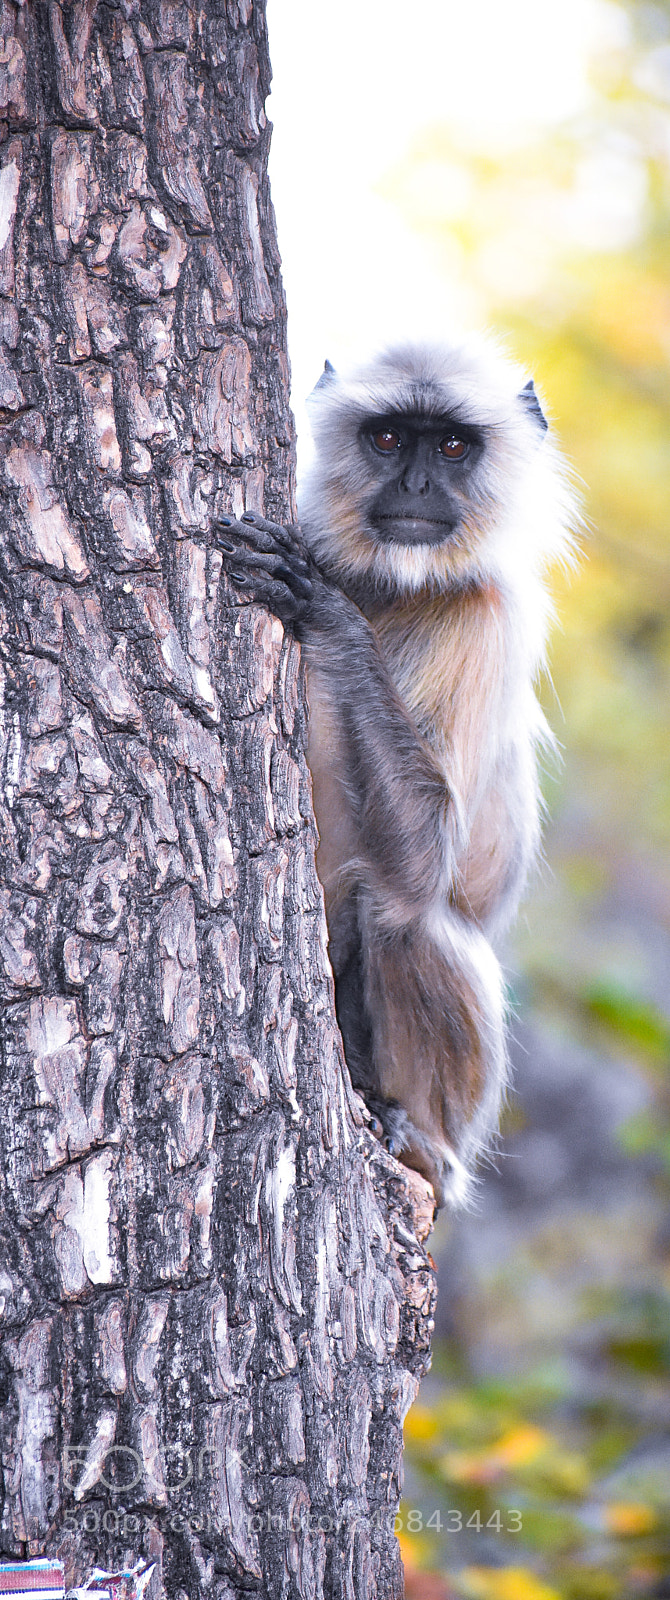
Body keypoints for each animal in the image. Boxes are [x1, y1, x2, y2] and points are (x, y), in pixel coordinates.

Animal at [214, 338, 574, 1208]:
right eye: (387, 439)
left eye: (450, 446)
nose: (414, 487)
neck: (388, 585)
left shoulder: (491, 618)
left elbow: (424, 859)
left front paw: (329, 615)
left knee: (401, 913)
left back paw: (421, 1148)